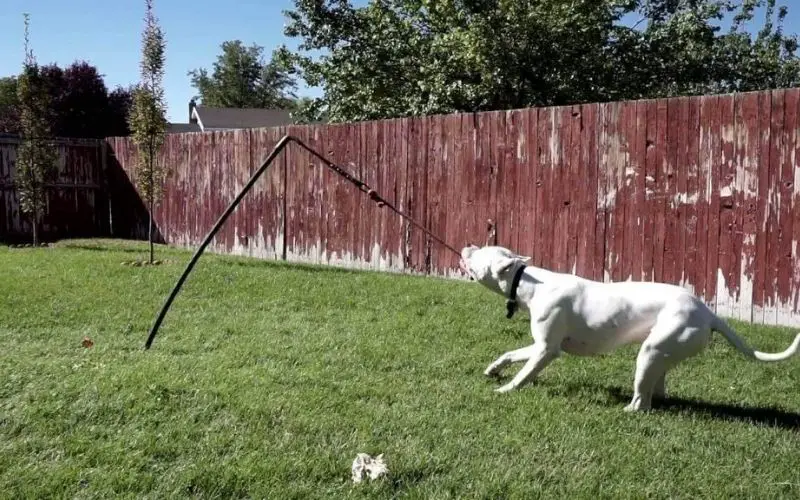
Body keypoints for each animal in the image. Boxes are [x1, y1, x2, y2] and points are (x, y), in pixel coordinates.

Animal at [456, 244, 800, 412]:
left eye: (482, 251)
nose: (468, 245)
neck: (530, 283)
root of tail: (707, 313)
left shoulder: (546, 352)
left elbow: (524, 374)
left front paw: (505, 389)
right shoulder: (540, 345)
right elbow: (511, 354)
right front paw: (494, 369)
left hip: (649, 353)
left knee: (640, 401)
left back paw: (627, 411)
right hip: (661, 354)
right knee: (654, 389)